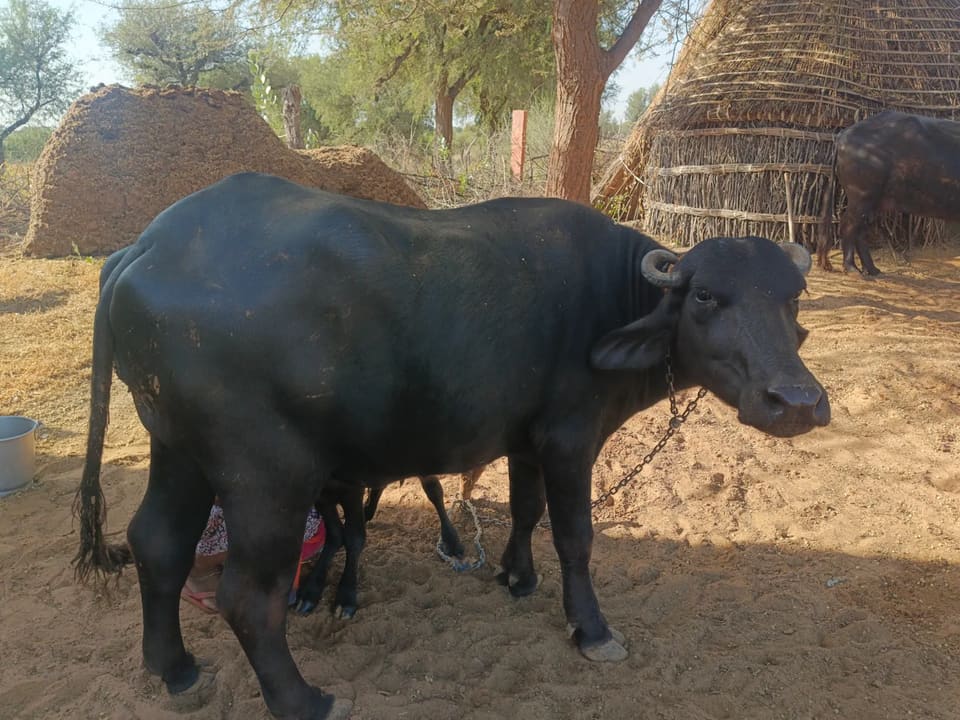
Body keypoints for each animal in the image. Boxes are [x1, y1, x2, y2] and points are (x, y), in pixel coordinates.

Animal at [75, 173, 829, 720]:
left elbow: (525, 511)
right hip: (266, 476)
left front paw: (516, 577)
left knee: (157, 545)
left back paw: (174, 669)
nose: (796, 402)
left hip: (178, 449)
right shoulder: (570, 438)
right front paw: (591, 629)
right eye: (706, 296)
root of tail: (147, 245)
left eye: (793, 296)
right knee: (247, 596)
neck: (611, 298)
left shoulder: (526, 440)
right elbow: (575, 537)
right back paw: (304, 700)